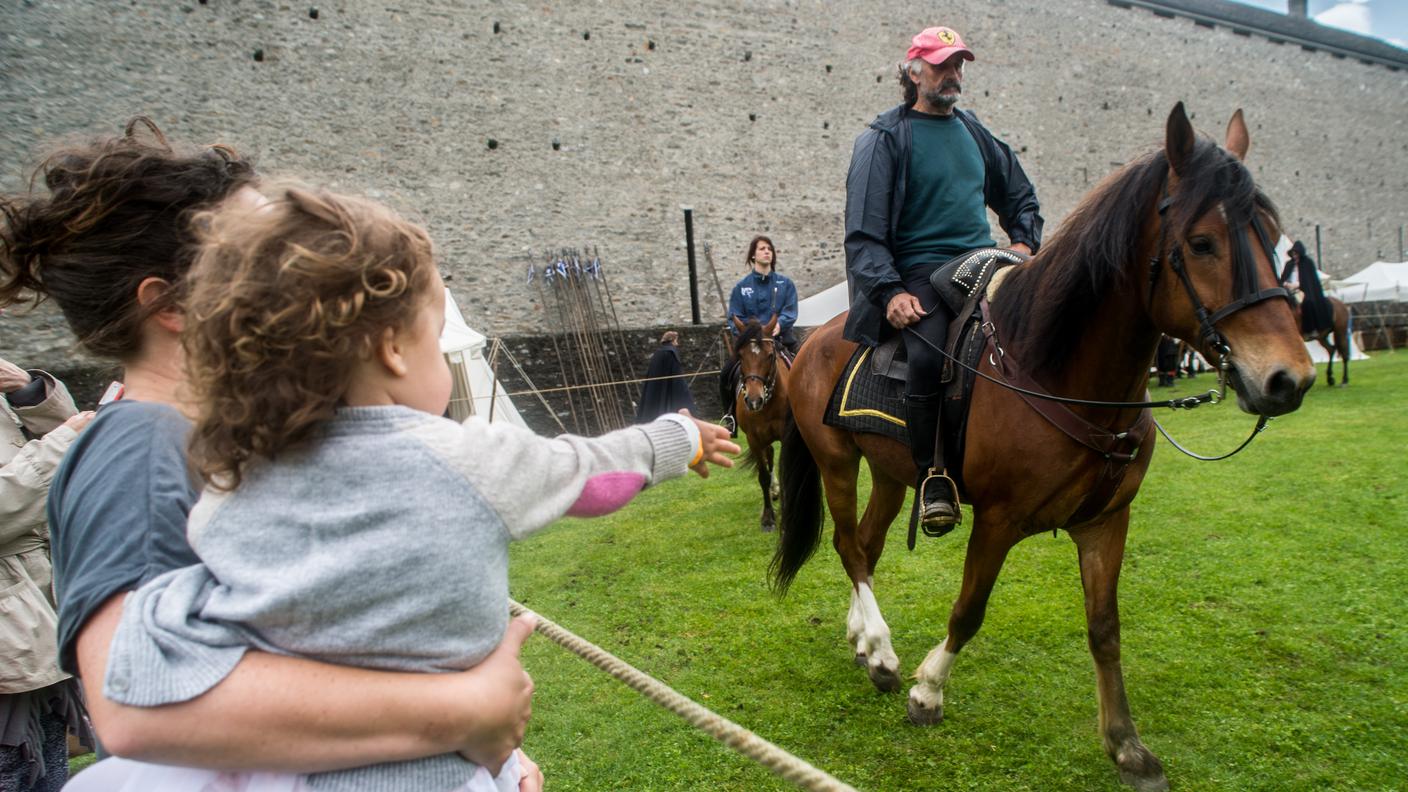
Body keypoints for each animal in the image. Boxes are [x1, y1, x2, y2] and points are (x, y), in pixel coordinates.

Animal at [737, 314, 794, 529]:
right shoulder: (754, 439)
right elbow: (762, 476)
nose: (754, 400)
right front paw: (768, 517)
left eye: (770, 355)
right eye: (740, 356)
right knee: (769, 457)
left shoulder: (786, 436)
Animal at [777, 106, 1312, 789]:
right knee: (848, 545)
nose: (1288, 378)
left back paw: (864, 642)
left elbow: (1105, 628)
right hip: (837, 462)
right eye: (1201, 243)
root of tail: (810, 340)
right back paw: (882, 653)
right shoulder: (998, 521)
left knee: (866, 548)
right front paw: (928, 691)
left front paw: (1127, 745)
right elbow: (969, 609)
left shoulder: (1107, 520)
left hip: (894, 473)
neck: (1054, 369)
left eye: (1273, 236)